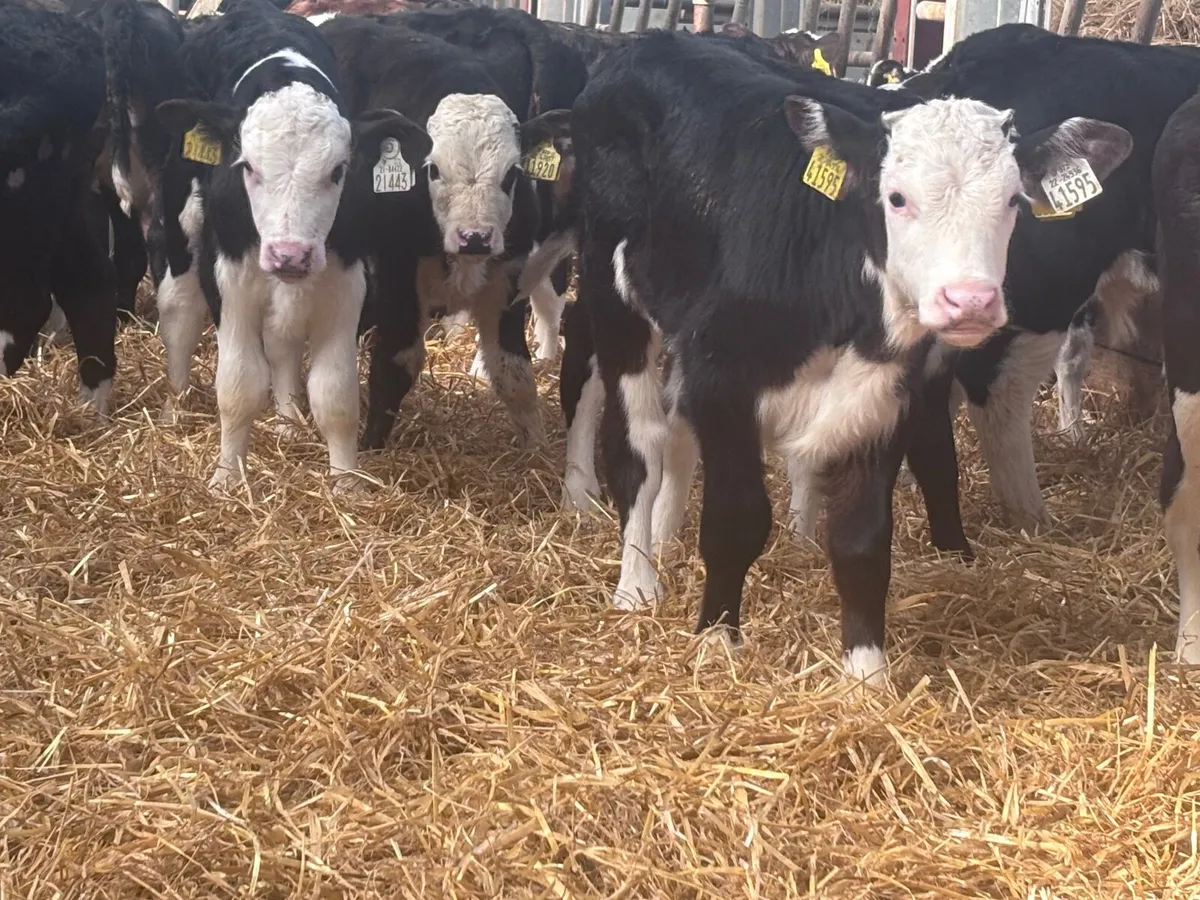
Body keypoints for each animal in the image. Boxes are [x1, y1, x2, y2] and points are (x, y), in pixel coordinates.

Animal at [149, 0, 427, 489]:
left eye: (339, 170)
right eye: (248, 166)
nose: (289, 254)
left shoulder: (345, 282)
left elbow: (335, 394)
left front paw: (347, 483)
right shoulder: (230, 280)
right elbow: (238, 386)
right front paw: (228, 478)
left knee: (282, 343)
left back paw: (287, 421)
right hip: (184, 227)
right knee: (179, 311)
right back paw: (173, 411)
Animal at [555, 31, 1130, 684]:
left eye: (1013, 200)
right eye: (896, 198)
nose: (970, 300)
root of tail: (651, 42)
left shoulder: (883, 397)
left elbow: (862, 539)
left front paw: (866, 672)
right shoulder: (723, 378)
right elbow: (736, 518)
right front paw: (718, 640)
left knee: (676, 435)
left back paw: (665, 537)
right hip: (614, 297)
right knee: (641, 445)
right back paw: (637, 583)